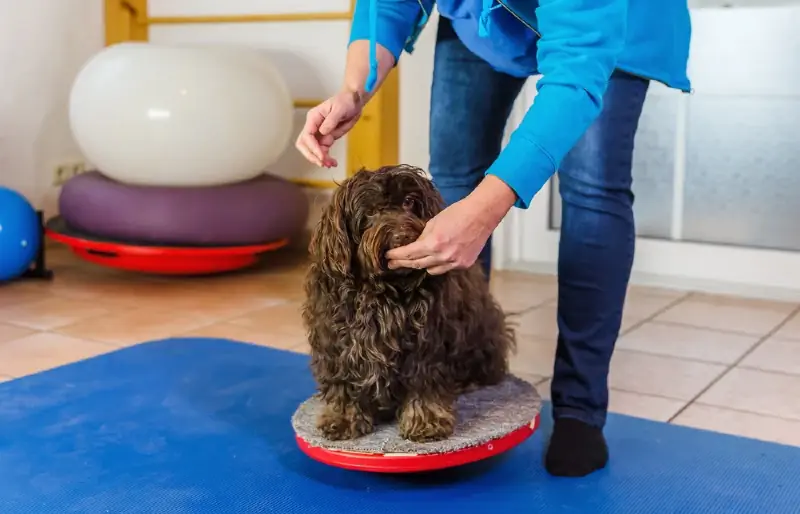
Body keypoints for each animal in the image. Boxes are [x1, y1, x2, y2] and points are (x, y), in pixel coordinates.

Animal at [300, 164, 512, 440]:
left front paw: (427, 420)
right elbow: (343, 382)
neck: (385, 290)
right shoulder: (336, 341)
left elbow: (424, 382)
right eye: (371, 211)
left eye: (409, 202)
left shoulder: (426, 343)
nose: (401, 235)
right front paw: (342, 417)